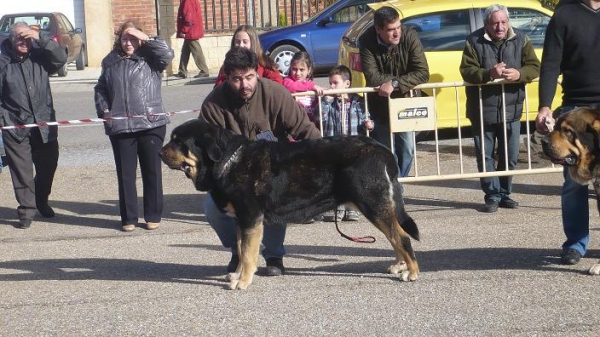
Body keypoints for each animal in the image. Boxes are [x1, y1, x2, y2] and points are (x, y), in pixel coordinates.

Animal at [162, 119, 420, 288]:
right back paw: (400, 266)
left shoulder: (250, 218)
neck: (230, 162)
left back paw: (412, 272)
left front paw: (243, 281)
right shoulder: (241, 221)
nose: (159, 152)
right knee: (394, 236)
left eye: (178, 142)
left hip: (373, 204)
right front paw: (237, 275)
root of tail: (381, 150)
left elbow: (248, 253)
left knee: (402, 237)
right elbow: (241, 250)